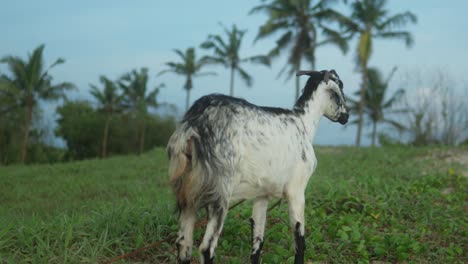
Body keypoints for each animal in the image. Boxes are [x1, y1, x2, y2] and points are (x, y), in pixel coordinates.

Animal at [167, 70, 348, 264]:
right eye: (340, 88)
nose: (346, 117)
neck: (303, 123)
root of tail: (193, 125)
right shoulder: (297, 190)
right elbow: (299, 237)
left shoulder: (262, 195)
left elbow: (257, 238)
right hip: (219, 193)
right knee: (206, 248)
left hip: (188, 196)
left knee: (183, 245)